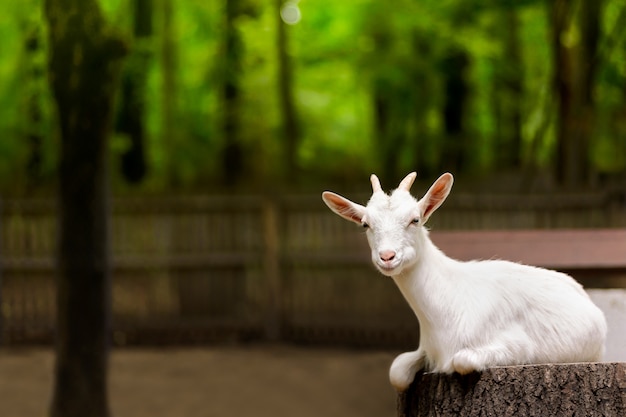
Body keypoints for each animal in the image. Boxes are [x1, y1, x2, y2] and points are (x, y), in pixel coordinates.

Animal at [322, 171, 604, 390]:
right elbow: (397, 372)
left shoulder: (518, 346)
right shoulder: (426, 347)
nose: (387, 257)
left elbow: (462, 360)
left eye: (415, 219)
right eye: (365, 224)